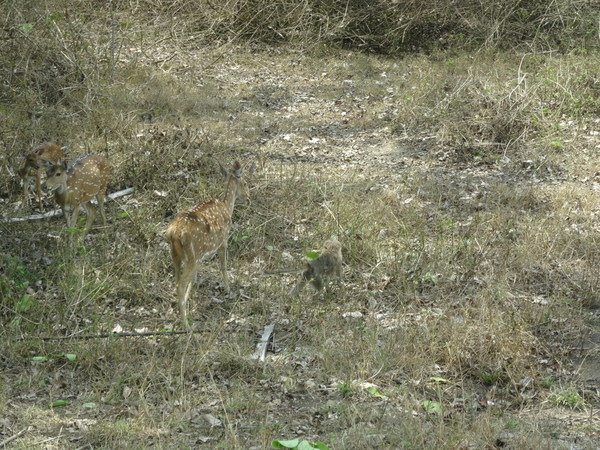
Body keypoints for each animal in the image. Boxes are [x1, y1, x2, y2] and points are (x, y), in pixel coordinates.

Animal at [165, 160, 250, 328]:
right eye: (244, 182)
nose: (248, 198)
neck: (227, 207)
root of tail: (175, 233)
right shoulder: (223, 240)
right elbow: (223, 266)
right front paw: (228, 289)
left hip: (175, 256)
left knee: (177, 280)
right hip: (193, 256)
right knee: (180, 284)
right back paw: (185, 324)